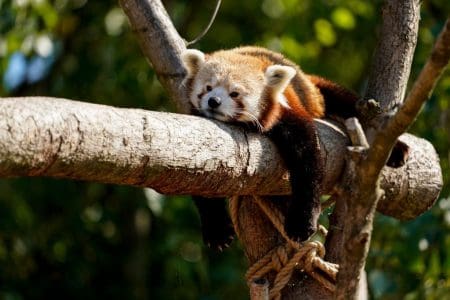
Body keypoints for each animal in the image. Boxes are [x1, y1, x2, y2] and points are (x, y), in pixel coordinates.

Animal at [181, 46, 360, 248]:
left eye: (235, 93)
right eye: (208, 88)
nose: (214, 101)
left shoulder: (286, 115)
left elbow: (307, 163)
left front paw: (302, 223)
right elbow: (200, 181)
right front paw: (216, 228)